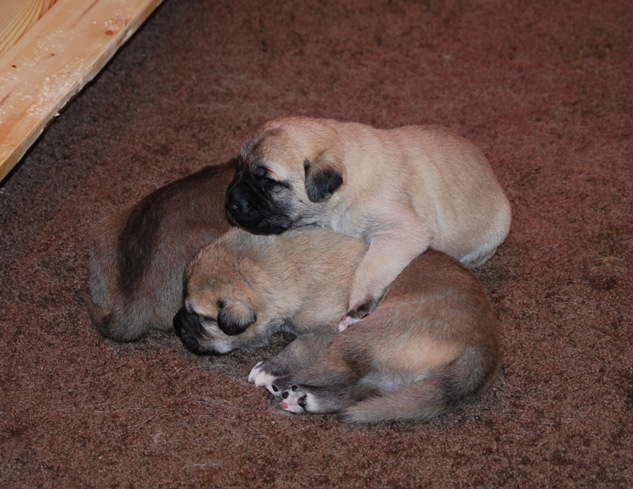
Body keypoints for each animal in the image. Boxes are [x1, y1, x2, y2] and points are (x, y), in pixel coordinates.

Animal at [174, 227, 501, 424]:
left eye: (200, 318)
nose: (177, 324)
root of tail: (483, 340)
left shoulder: (328, 329)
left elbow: (301, 345)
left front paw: (269, 368)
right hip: (392, 374)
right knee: (361, 388)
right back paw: (305, 400)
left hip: (364, 333)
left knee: (334, 370)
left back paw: (283, 383)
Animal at [224, 116, 511, 330]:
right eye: (238, 169)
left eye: (267, 181)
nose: (231, 202)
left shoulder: (399, 232)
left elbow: (369, 269)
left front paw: (356, 308)